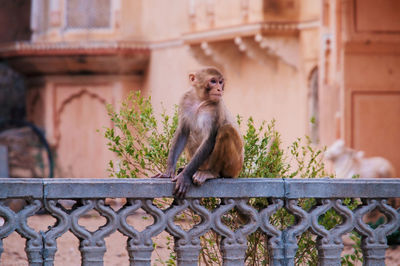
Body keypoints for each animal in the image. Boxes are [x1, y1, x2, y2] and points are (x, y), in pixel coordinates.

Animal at [154, 66, 244, 197]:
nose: (219, 89)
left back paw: (210, 172)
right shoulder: (185, 99)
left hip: (235, 166)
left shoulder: (217, 107)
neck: (200, 101)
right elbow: (183, 132)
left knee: (226, 130)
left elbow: (209, 140)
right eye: (213, 81)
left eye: (220, 82)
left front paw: (184, 176)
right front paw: (169, 171)